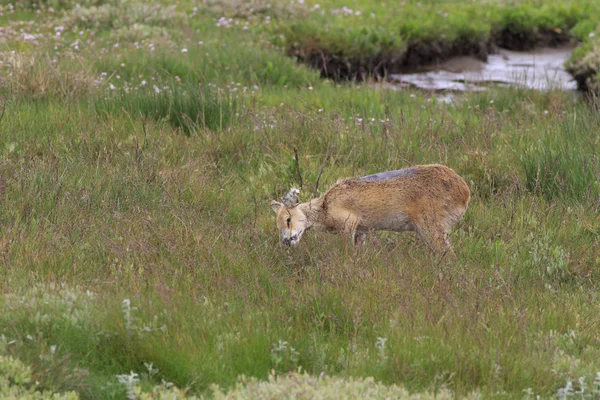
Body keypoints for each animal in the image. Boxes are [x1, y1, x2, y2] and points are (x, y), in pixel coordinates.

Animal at [270, 165, 472, 260]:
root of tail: (464, 192)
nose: (286, 241)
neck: (324, 207)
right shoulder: (362, 231)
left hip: (430, 228)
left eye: (288, 219)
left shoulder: (349, 224)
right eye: (278, 225)